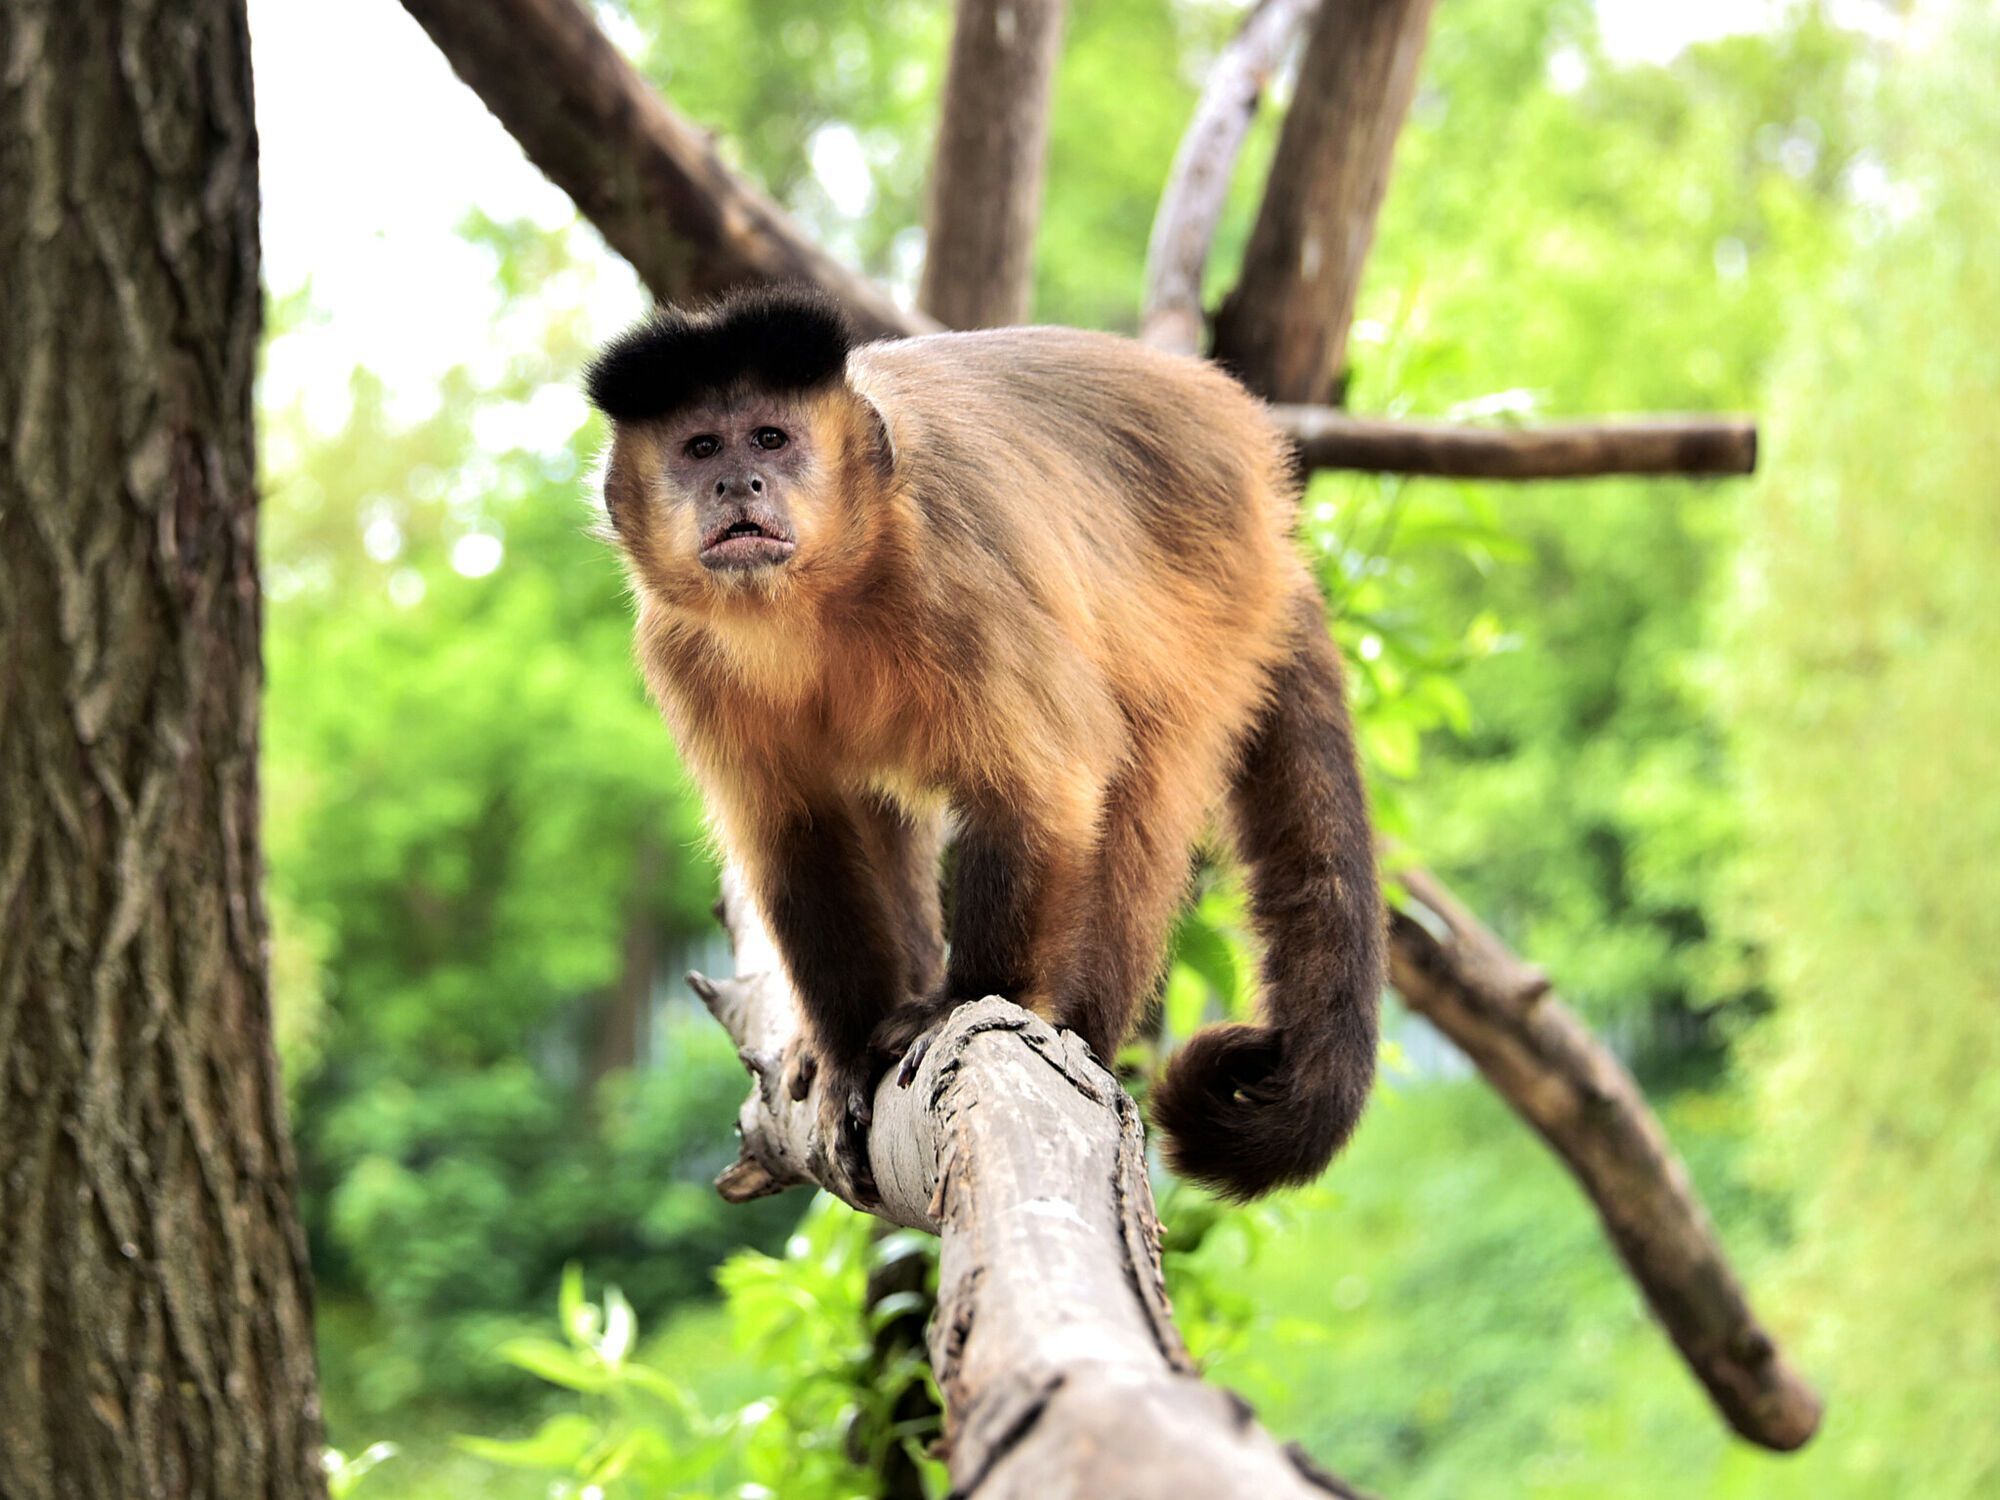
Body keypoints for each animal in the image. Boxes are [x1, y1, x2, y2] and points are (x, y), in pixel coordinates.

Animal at [584, 288, 1384, 1208]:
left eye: (771, 440)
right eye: (702, 448)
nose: (737, 482)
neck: (817, 595)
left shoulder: (948, 568)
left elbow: (1041, 785)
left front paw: (962, 1002)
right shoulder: (677, 649)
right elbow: (797, 836)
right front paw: (847, 1054)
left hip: (1224, 594)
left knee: (1139, 791)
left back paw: (1081, 1030)